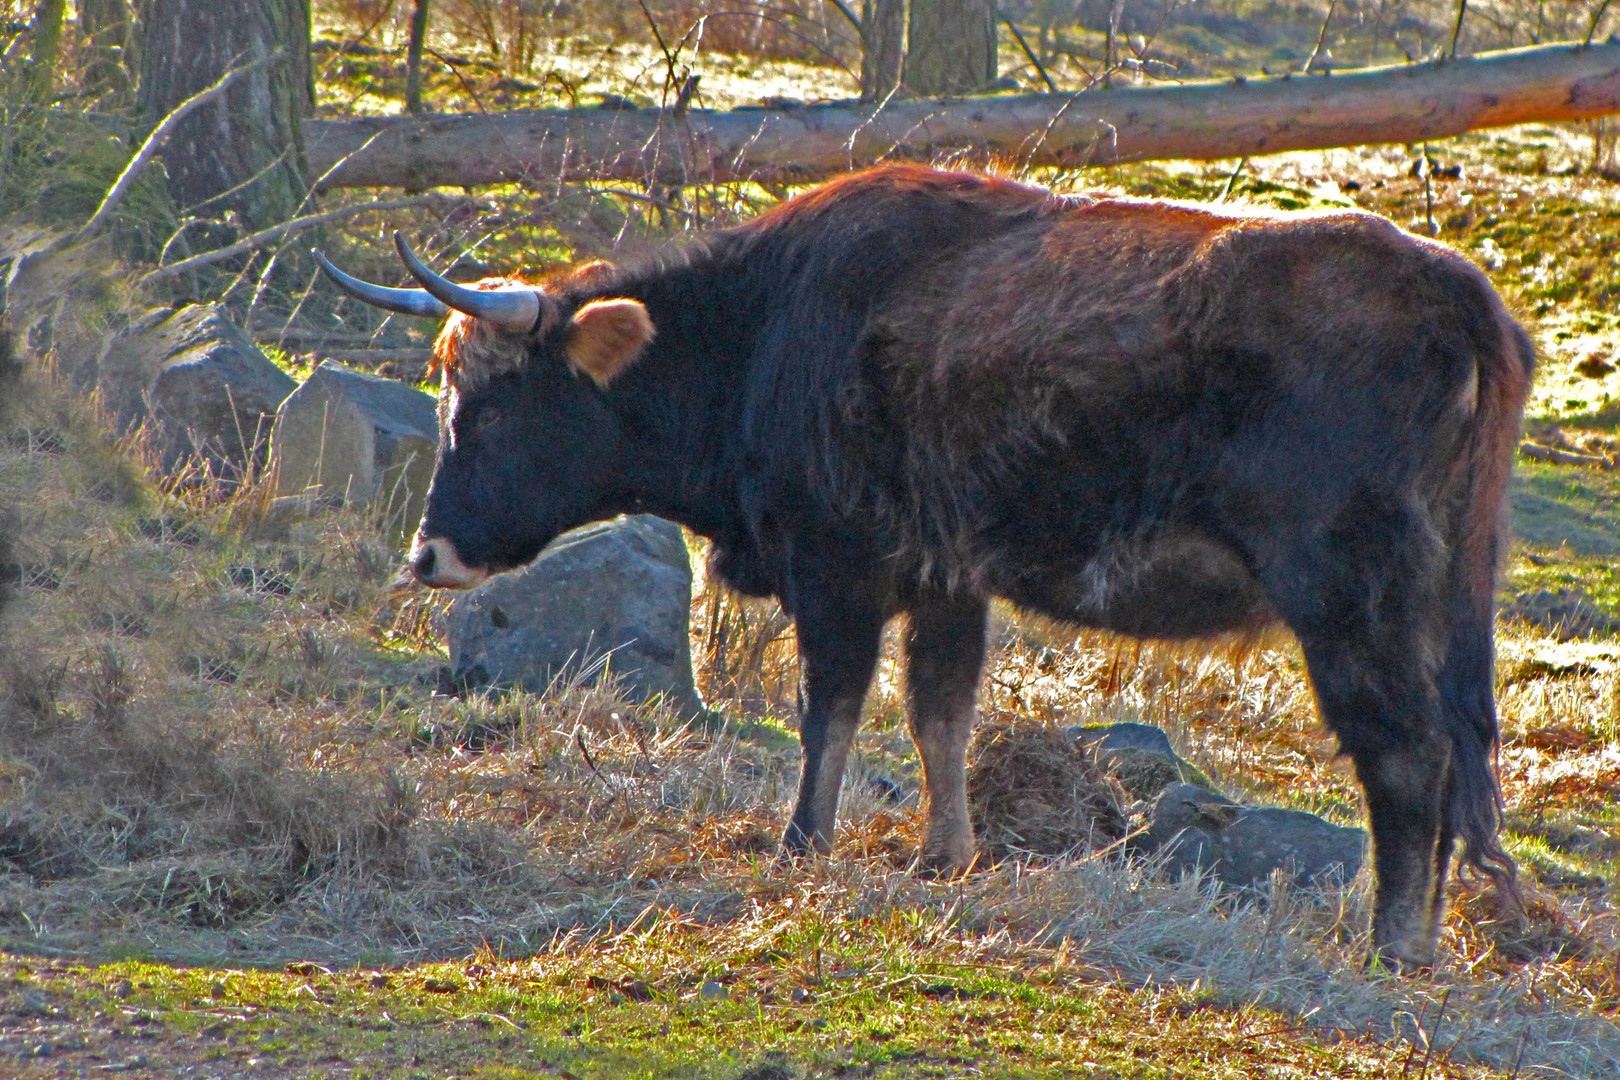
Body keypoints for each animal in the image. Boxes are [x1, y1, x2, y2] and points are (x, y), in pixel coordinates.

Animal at [319, 165, 1529, 965]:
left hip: (1352, 603)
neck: (771, 326)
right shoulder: (951, 579)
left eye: (488, 405)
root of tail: (1448, 284)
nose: (426, 554)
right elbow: (940, 713)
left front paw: (802, 843)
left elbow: (834, 710)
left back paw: (1394, 945)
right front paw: (944, 854)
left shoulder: (838, 567)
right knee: (1449, 757)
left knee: (1408, 758)